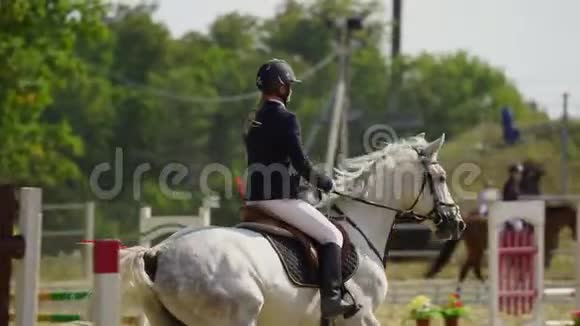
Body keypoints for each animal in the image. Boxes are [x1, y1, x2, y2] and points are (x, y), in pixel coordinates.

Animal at [426, 162, 576, 284]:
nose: (575, 236)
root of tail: (468, 219)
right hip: (476, 248)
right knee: (471, 269)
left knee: (469, 269)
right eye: (575, 218)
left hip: (477, 249)